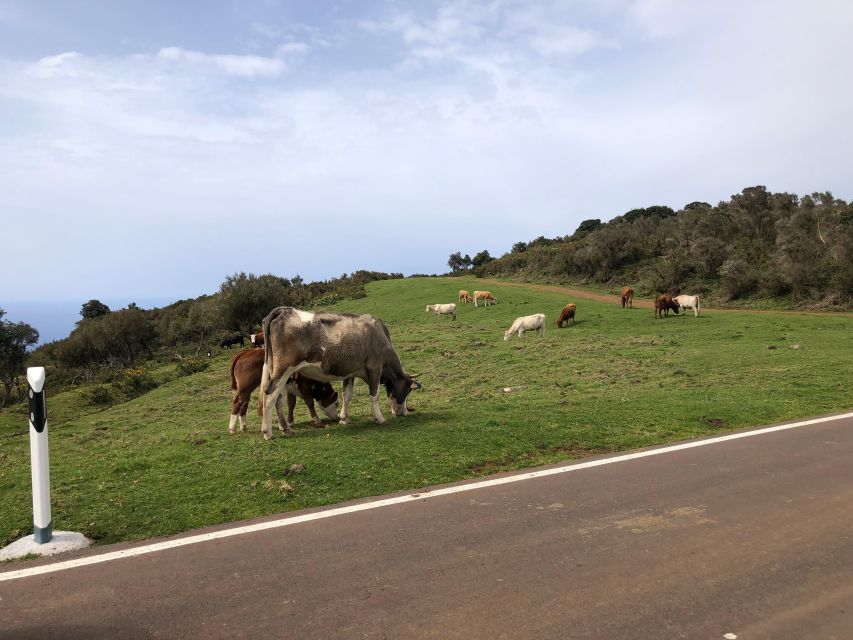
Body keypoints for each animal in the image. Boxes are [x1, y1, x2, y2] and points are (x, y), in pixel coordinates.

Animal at [260, 306, 420, 438]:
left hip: (275, 369)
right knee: (270, 395)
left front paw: (344, 418)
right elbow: (374, 395)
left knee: (278, 398)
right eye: (407, 392)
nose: (404, 412)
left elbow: (347, 395)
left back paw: (285, 428)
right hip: (285, 368)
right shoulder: (375, 368)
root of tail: (284, 310)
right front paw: (379, 418)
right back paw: (268, 432)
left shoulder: (351, 372)